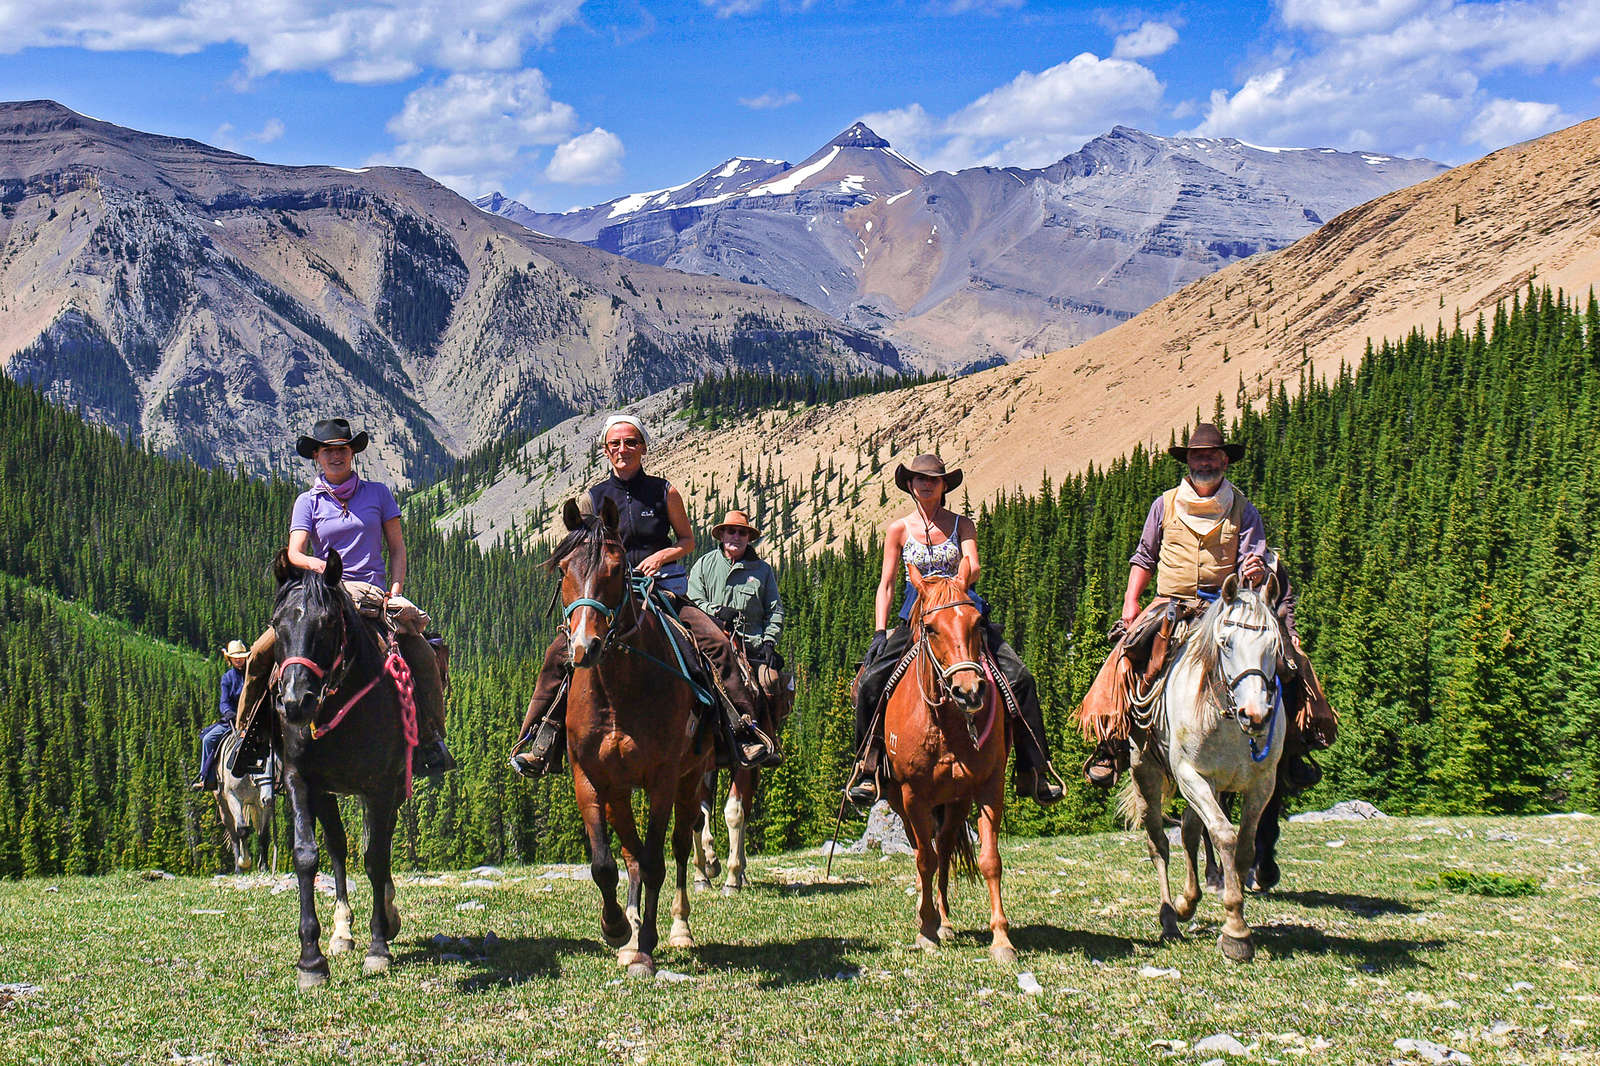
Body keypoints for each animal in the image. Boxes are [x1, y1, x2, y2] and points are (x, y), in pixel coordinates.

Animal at [265, 547, 412, 985]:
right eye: (276, 624)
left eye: (328, 622)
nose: (295, 702)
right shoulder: (300, 780)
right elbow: (306, 855)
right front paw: (310, 960)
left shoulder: (380, 785)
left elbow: (376, 857)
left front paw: (378, 946)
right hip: (329, 793)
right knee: (338, 848)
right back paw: (342, 931)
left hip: (389, 790)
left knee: (377, 846)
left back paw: (387, 915)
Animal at [550, 496, 713, 973]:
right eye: (563, 569)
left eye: (617, 569)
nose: (584, 648)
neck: (618, 689)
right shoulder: (589, 779)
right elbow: (605, 864)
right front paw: (617, 928)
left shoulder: (663, 779)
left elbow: (658, 860)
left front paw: (647, 945)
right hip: (620, 790)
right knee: (630, 853)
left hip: (690, 779)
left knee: (677, 847)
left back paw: (678, 928)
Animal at [876, 563, 1011, 960]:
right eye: (932, 628)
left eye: (977, 622)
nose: (969, 692)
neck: (946, 726)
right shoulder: (913, 796)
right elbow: (924, 860)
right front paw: (925, 930)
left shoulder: (989, 786)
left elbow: (989, 861)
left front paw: (1001, 939)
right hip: (901, 803)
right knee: (924, 852)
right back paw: (929, 918)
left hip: (955, 803)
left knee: (946, 848)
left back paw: (945, 921)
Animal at [1120, 576, 1292, 960]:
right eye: (1225, 643)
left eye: (1275, 644)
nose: (1255, 715)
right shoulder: (1191, 775)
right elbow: (1224, 836)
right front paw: (1236, 933)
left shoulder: (1262, 784)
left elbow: (1243, 846)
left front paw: (1234, 911)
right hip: (1147, 774)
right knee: (1159, 844)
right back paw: (1170, 918)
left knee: (1187, 831)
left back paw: (1188, 903)